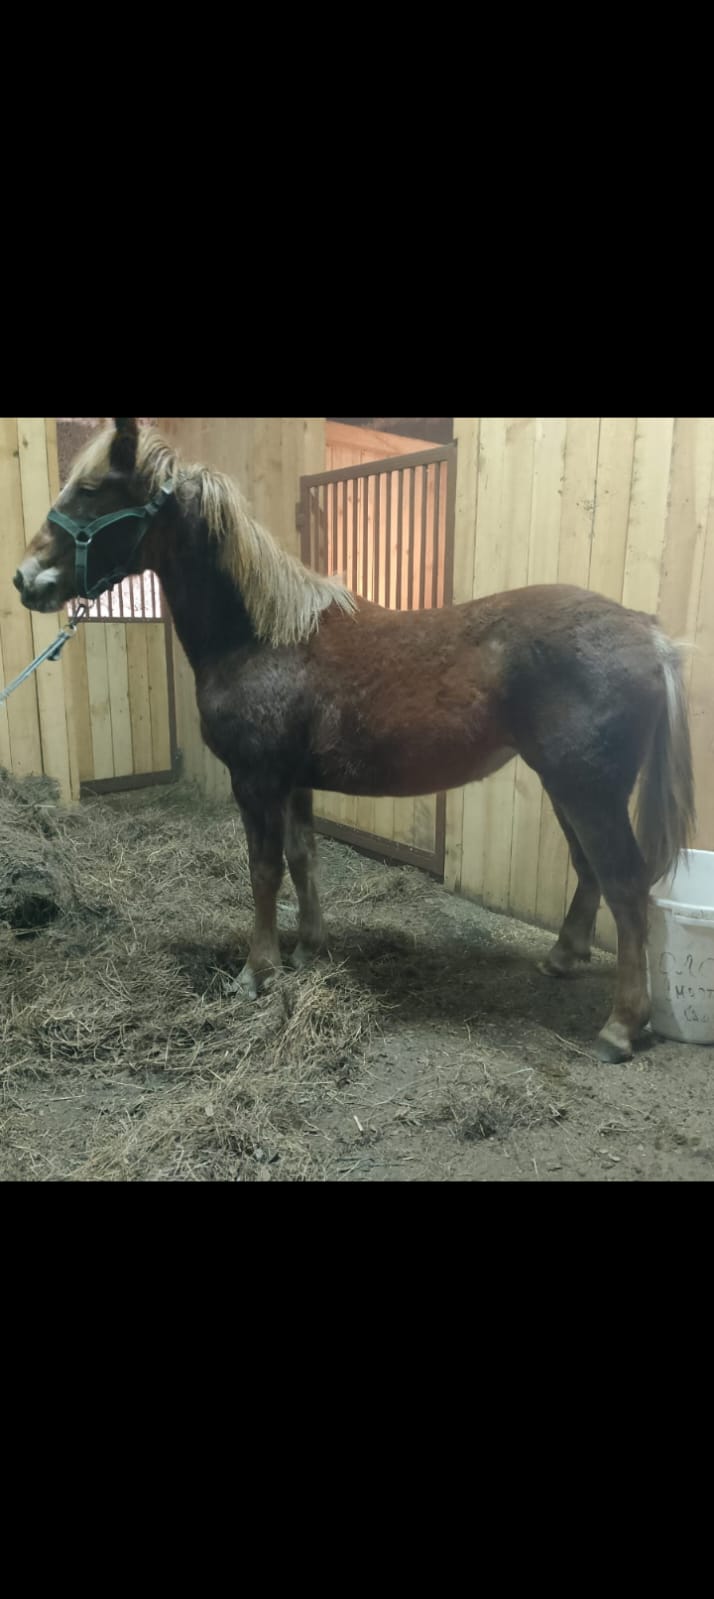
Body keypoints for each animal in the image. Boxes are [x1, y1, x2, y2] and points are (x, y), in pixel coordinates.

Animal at [14, 416, 695, 1063]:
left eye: (91, 491)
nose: (25, 579)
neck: (265, 639)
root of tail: (648, 635)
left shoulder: (256, 781)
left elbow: (264, 870)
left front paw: (255, 972)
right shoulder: (292, 783)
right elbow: (302, 858)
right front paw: (309, 951)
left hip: (589, 790)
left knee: (626, 885)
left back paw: (620, 1026)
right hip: (565, 785)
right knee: (590, 869)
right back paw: (562, 959)